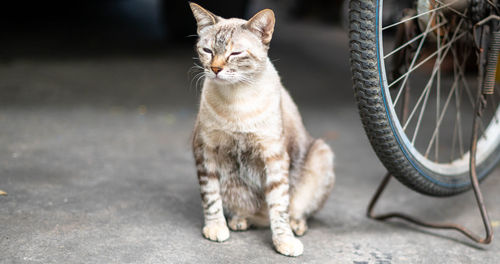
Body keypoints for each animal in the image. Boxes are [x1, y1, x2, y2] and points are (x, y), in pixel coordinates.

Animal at [189, 3, 334, 256]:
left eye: (235, 54)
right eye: (207, 50)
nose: (215, 69)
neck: (236, 100)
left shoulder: (273, 156)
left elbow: (279, 205)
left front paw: (284, 241)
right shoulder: (205, 150)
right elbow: (211, 197)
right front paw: (216, 228)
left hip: (321, 153)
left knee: (294, 209)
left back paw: (296, 225)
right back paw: (239, 220)